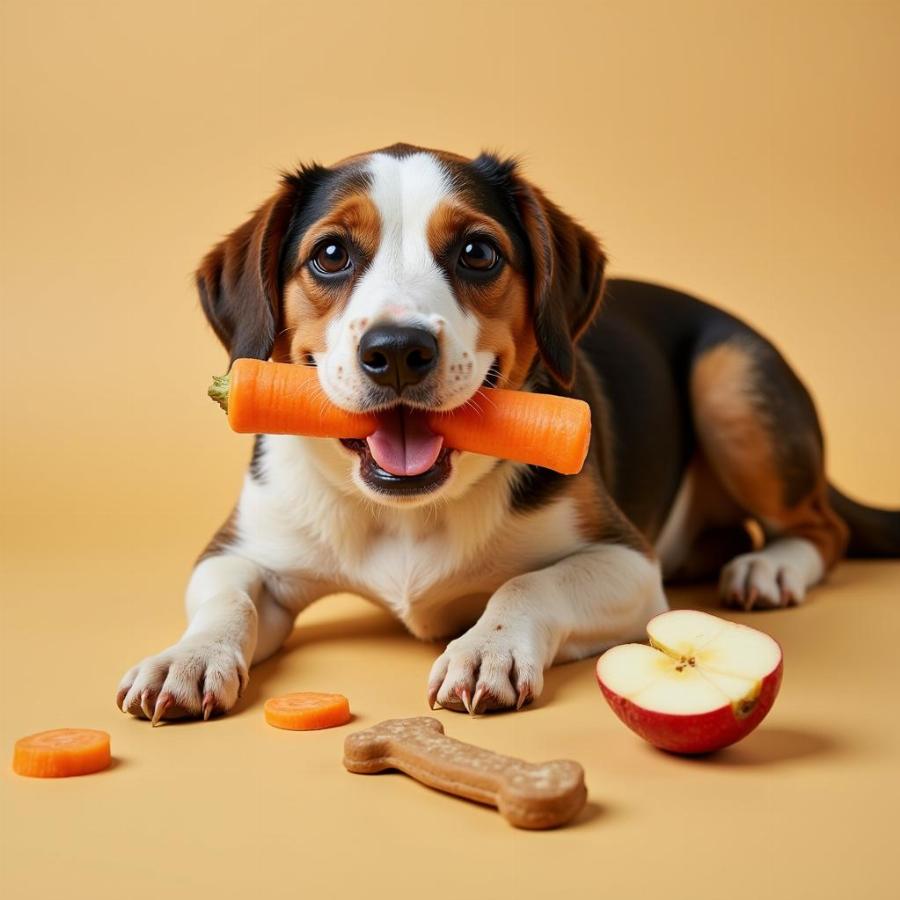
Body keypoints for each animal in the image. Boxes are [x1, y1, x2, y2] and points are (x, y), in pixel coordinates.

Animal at [116, 144, 896, 720]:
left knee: (824, 527)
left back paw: (771, 567)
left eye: (477, 252)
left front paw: (485, 649)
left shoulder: (627, 562)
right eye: (331, 254)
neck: (408, 513)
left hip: (729, 375)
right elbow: (228, 599)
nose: (397, 350)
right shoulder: (242, 552)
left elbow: (527, 586)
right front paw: (187, 658)